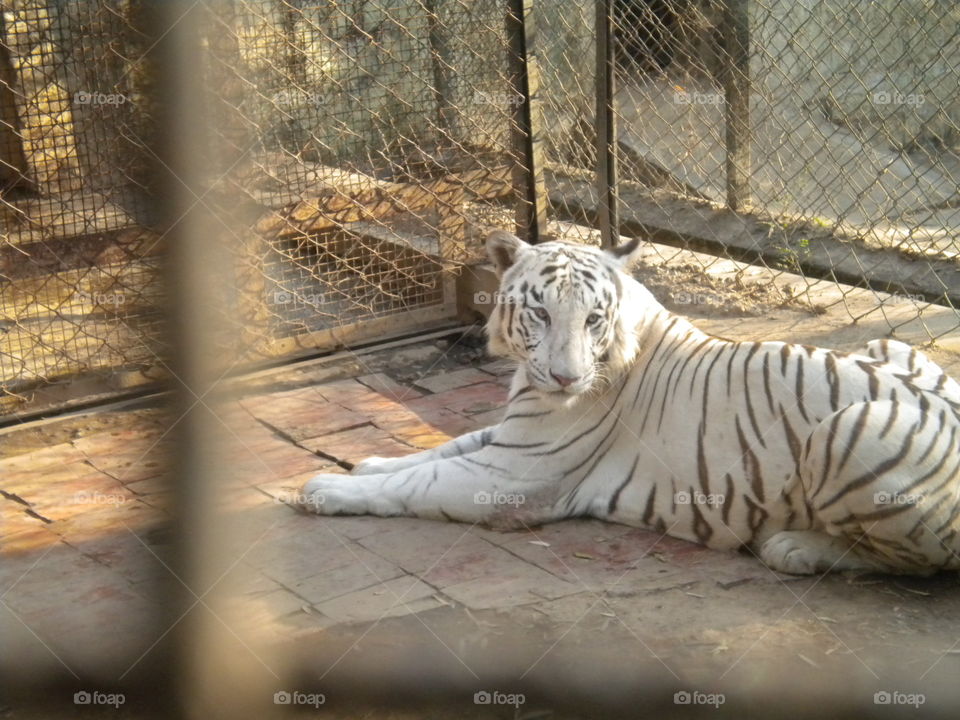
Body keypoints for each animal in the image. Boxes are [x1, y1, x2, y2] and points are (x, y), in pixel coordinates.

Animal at [301, 230, 960, 575]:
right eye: (542, 313)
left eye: (593, 318)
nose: (565, 379)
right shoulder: (508, 439)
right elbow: (441, 447)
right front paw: (369, 461)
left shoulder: (513, 474)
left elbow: (418, 482)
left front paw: (327, 488)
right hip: (888, 345)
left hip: (848, 429)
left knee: (919, 563)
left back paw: (793, 546)